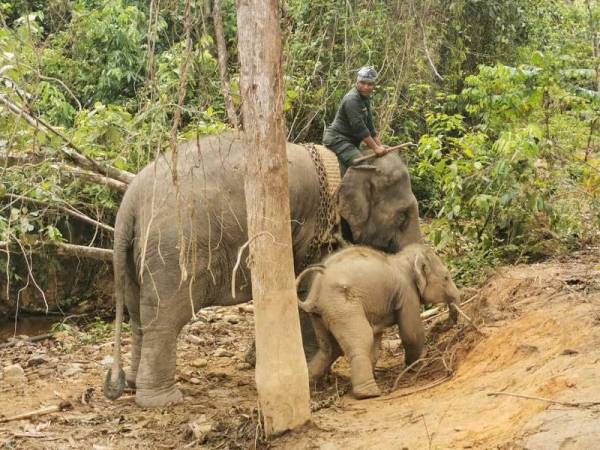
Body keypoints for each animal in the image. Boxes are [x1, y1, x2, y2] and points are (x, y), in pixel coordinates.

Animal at [104, 131, 422, 408]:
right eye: (404, 215)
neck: (349, 163)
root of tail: (128, 204)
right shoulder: (311, 230)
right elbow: (304, 288)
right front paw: (307, 365)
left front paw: (255, 360)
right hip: (174, 251)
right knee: (165, 318)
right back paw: (163, 400)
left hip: (135, 256)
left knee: (137, 316)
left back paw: (133, 384)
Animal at [298, 243, 460, 398]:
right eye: (446, 278)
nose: (446, 323)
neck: (402, 258)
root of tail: (314, 293)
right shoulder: (407, 292)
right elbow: (411, 333)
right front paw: (419, 364)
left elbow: (376, 342)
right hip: (342, 307)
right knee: (361, 338)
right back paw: (369, 393)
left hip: (320, 314)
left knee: (329, 348)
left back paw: (311, 388)